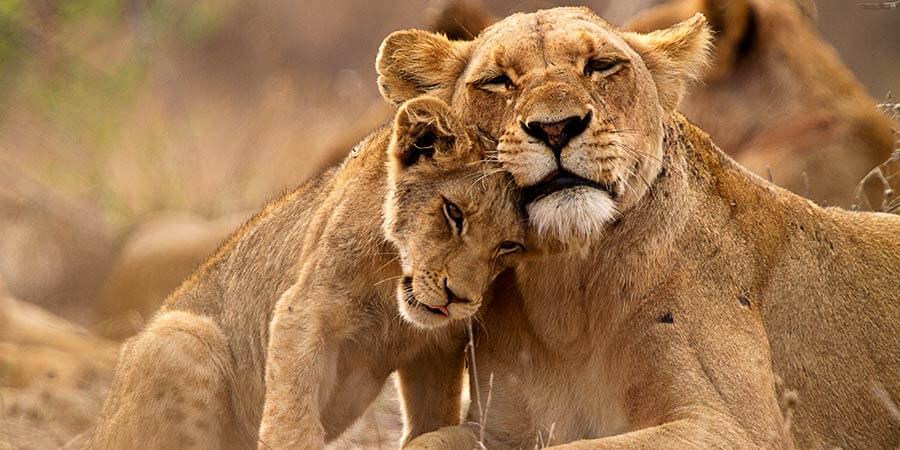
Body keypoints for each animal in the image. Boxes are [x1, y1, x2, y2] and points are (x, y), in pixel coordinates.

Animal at [88, 96, 526, 449]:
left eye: (509, 245)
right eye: (453, 212)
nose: (459, 299)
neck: (392, 290)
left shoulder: (437, 347)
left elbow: (433, 418)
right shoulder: (303, 311)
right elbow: (292, 419)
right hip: (181, 336)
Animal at [372, 7, 900, 449]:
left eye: (601, 66)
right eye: (498, 81)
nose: (556, 127)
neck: (566, 294)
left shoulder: (734, 427)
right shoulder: (500, 428)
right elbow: (424, 441)